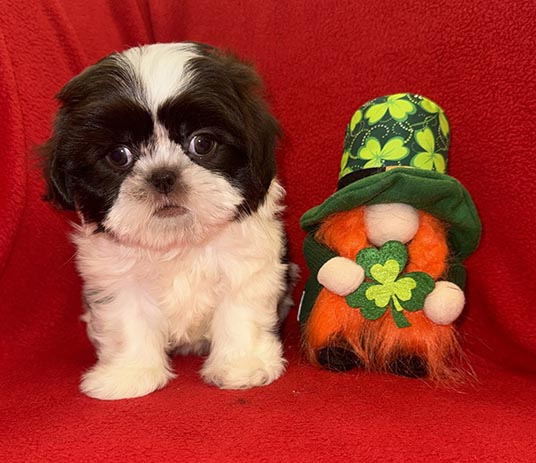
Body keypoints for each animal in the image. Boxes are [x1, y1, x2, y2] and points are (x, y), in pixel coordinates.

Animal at [42, 42, 296, 400]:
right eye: (119, 155)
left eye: (202, 143)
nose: (163, 176)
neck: (177, 241)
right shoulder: (117, 280)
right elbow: (128, 322)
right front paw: (129, 374)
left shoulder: (248, 267)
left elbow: (240, 312)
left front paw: (242, 366)